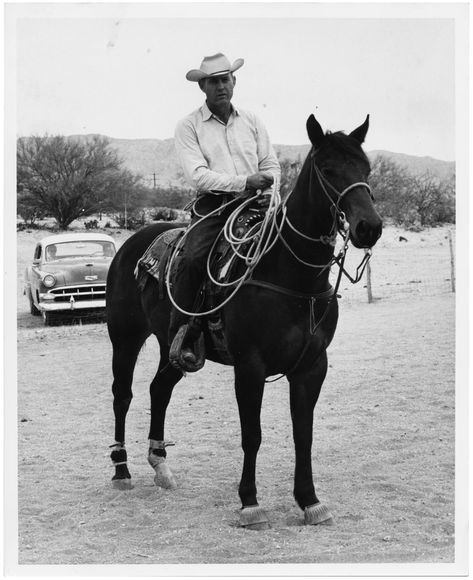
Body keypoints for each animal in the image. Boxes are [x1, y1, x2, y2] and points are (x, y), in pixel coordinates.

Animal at [105, 113, 382, 532]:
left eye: (365, 167)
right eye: (327, 168)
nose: (370, 226)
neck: (290, 276)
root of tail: (132, 245)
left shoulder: (312, 366)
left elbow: (304, 433)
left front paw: (310, 501)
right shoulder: (250, 366)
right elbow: (252, 434)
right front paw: (250, 504)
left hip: (174, 347)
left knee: (158, 390)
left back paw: (161, 467)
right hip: (125, 339)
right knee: (123, 395)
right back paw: (121, 470)